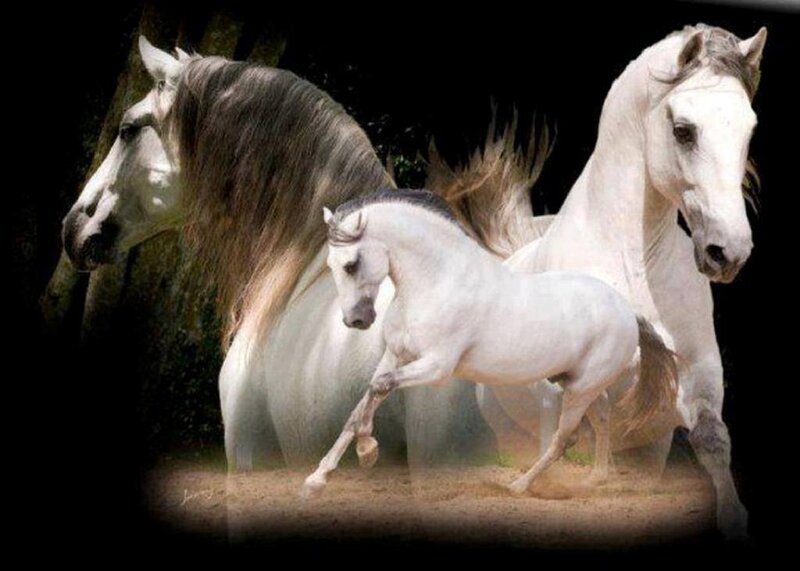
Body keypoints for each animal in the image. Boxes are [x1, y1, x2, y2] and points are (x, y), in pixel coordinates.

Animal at [300, 189, 678, 498]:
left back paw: (520, 486)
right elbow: (362, 402)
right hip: (577, 383)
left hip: (579, 390)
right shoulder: (396, 355)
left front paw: (367, 450)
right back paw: (594, 480)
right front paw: (318, 478)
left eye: (351, 264)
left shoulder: (437, 367)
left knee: (564, 438)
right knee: (601, 421)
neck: (437, 282)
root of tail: (626, 310)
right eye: (332, 264)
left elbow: (379, 387)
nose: (356, 321)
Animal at [471, 24, 767, 539]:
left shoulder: (697, 368)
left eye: (748, 129)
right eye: (683, 129)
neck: (632, 263)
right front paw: (528, 489)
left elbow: (711, 438)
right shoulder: (556, 385)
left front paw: (733, 517)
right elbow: (559, 440)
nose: (727, 252)